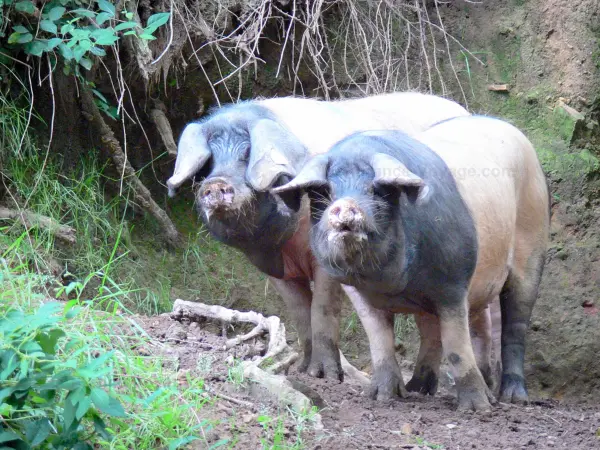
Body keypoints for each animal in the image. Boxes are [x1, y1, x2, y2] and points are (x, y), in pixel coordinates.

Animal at [166, 93, 472, 382]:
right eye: (208, 165)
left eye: (247, 154)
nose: (215, 184)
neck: (282, 244)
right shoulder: (277, 271)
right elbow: (301, 314)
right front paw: (303, 370)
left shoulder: (325, 262)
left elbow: (321, 309)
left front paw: (325, 376)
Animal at [274, 116, 552, 412]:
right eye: (325, 192)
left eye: (376, 190)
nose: (345, 205)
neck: (394, 286)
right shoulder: (358, 293)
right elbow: (380, 340)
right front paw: (382, 397)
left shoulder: (453, 283)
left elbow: (455, 344)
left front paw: (477, 410)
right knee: (457, 328)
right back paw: (419, 389)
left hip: (533, 241)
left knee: (515, 323)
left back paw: (511, 398)